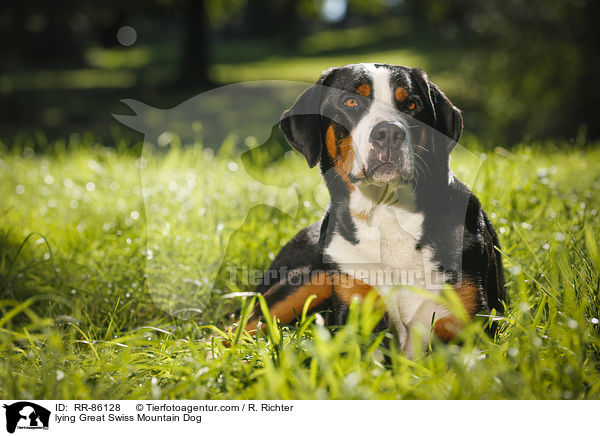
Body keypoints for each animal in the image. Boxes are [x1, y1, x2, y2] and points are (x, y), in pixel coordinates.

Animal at [241, 63, 504, 352]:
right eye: (351, 101)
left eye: (411, 104)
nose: (388, 134)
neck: (387, 214)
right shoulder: (356, 309)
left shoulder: (466, 322)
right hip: (309, 279)